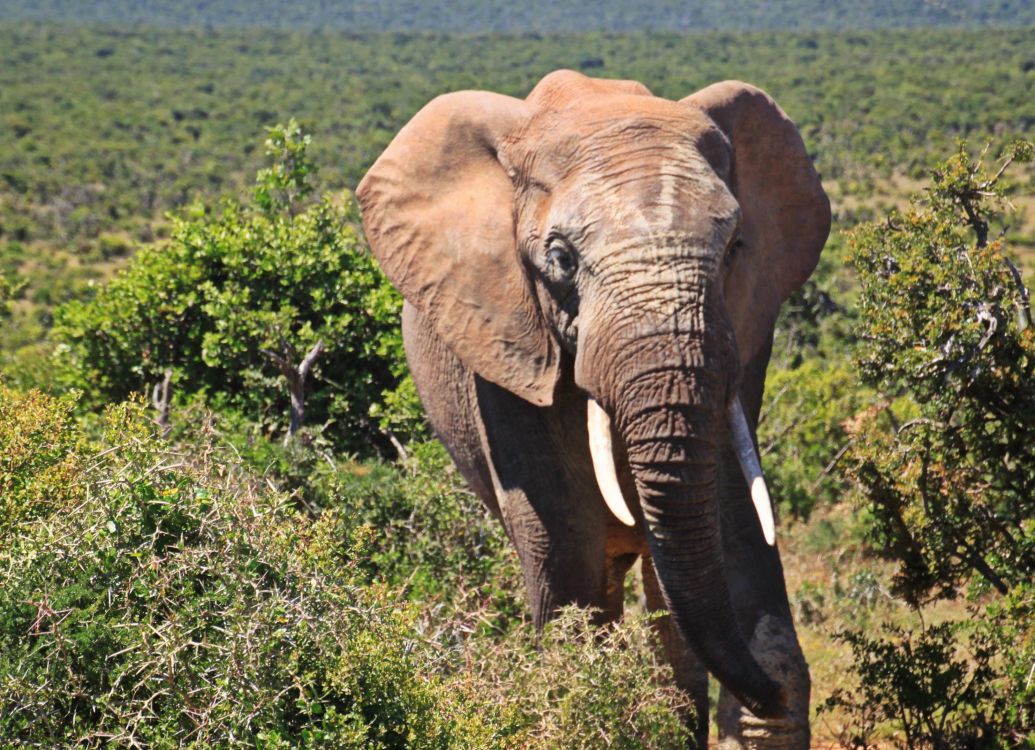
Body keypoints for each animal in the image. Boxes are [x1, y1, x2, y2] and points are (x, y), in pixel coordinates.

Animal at [360, 71, 828, 748]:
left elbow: (733, 519)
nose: (768, 694)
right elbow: (565, 548)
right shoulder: (502, 344)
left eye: (736, 247)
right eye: (560, 259)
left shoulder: (743, 335)